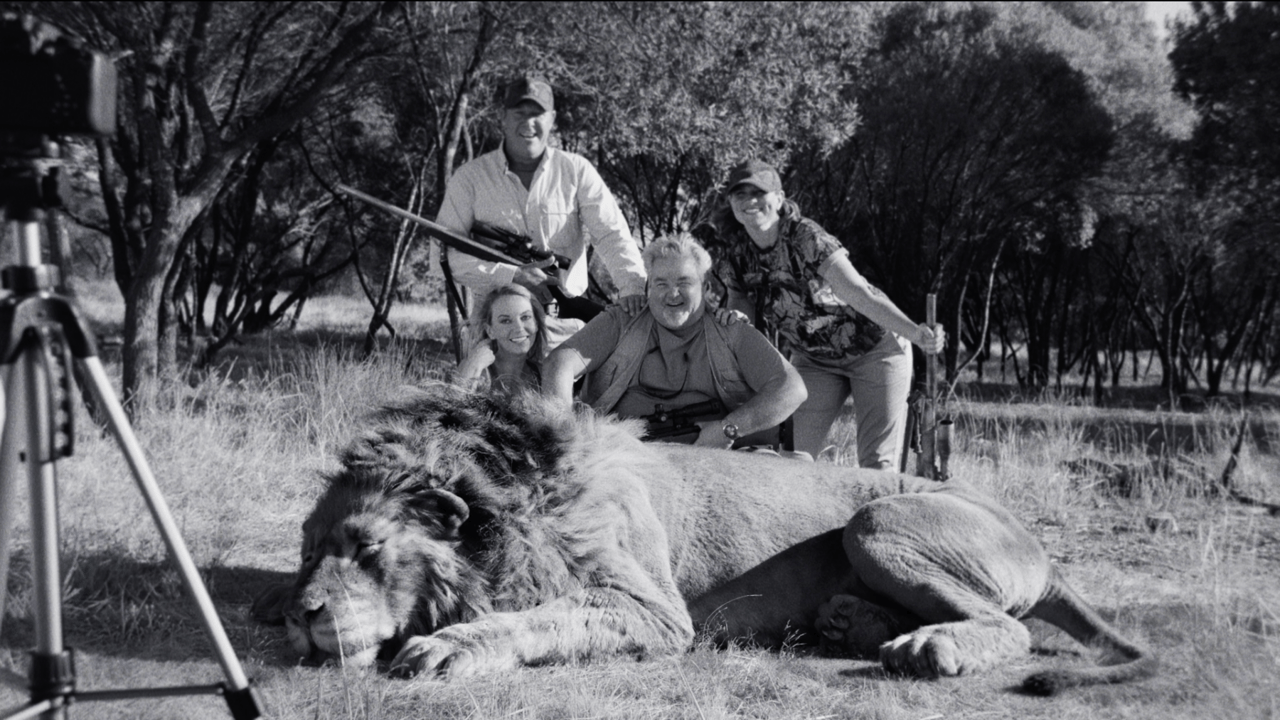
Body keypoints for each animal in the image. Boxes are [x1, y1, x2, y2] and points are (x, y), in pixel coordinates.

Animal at [254, 384, 1157, 691]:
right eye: (306, 551)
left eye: (369, 548)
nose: (302, 615)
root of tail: (1039, 544)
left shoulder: (655, 611)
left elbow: (536, 617)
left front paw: (450, 646)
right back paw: (856, 624)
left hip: (879, 521)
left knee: (1010, 626)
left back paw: (927, 646)